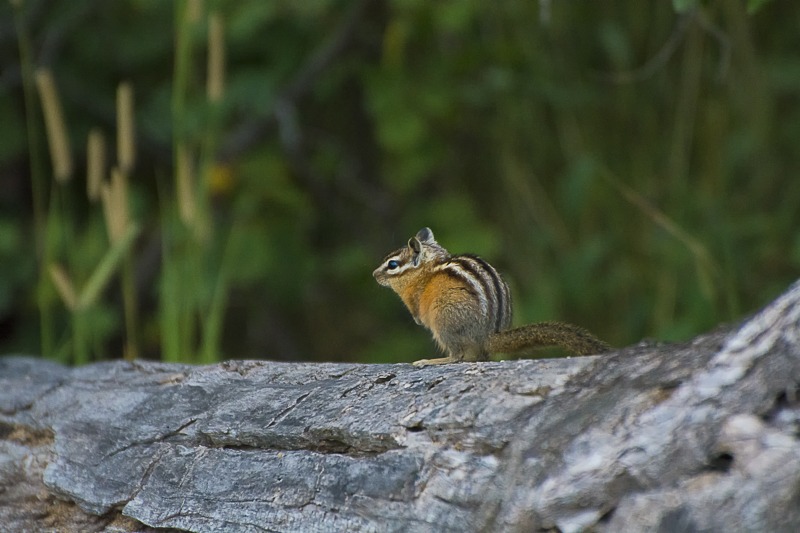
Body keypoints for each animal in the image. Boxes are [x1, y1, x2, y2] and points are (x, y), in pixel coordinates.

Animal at [373, 227, 611, 365]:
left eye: (392, 265)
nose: (374, 275)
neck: (427, 269)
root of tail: (486, 335)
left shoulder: (415, 298)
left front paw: (417, 319)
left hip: (443, 320)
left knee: (458, 356)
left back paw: (433, 361)